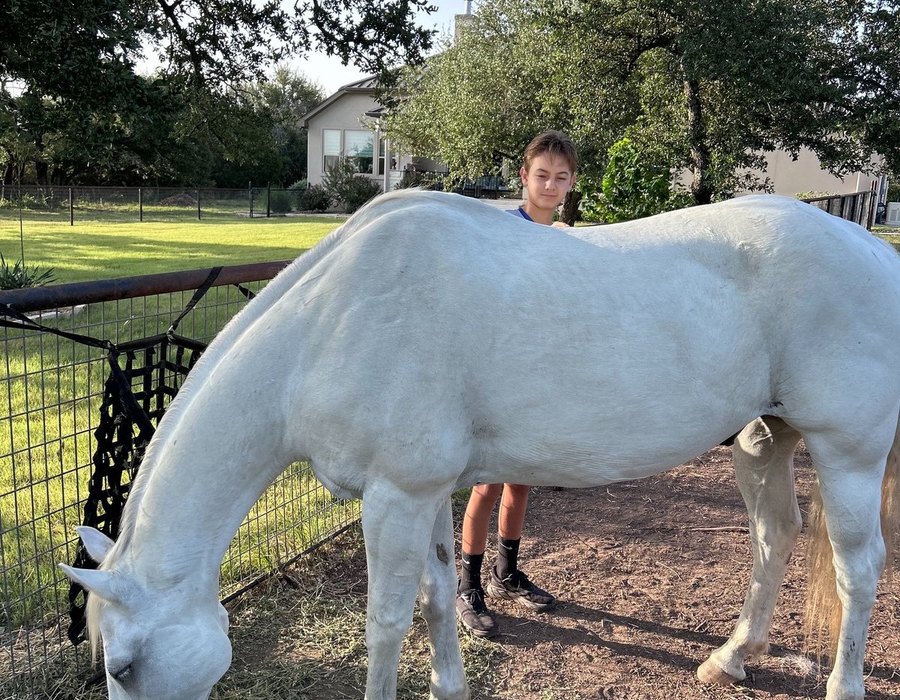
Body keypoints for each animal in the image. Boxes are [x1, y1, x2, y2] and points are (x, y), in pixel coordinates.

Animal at [61, 189, 900, 700]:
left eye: (126, 664)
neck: (330, 326)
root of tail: (875, 250)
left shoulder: (394, 499)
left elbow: (386, 620)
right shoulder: (425, 491)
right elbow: (437, 596)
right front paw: (450, 683)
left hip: (848, 453)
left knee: (858, 571)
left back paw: (842, 683)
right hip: (763, 441)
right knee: (775, 538)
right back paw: (731, 658)